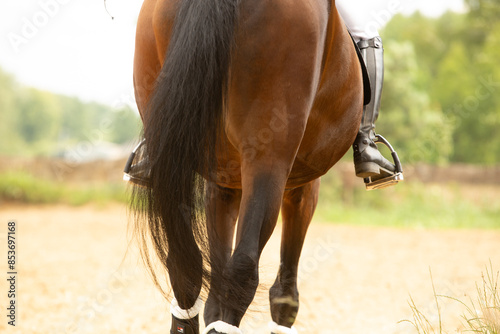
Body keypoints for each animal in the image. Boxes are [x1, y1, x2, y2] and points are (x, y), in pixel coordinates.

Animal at [129, 0, 364, 332]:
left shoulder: (223, 182)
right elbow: (284, 295)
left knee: (186, 265)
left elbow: (215, 291)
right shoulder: (302, 185)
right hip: (269, 158)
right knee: (244, 269)